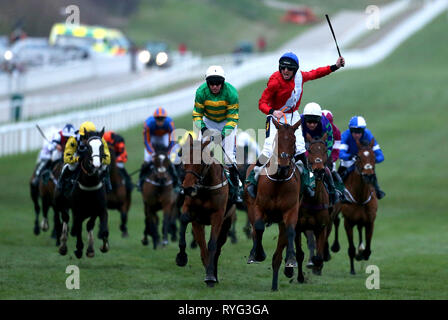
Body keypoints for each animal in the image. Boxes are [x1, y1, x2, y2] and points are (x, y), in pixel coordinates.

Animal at [175, 135, 234, 288]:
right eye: (183, 158)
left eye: (201, 162)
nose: (187, 188)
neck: (205, 188)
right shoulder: (191, 211)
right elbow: (184, 219)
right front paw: (181, 257)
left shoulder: (218, 215)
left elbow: (212, 244)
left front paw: (210, 276)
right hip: (199, 224)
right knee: (202, 246)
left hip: (227, 222)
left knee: (217, 247)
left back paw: (213, 274)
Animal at [245, 119, 300, 292]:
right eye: (278, 140)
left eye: (293, 141)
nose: (283, 166)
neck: (278, 181)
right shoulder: (258, 207)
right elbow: (259, 228)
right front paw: (257, 254)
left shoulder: (291, 210)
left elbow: (291, 231)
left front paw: (291, 260)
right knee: (255, 230)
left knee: (278, 253)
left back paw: (276, 283)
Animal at [330, 139, 380, 274]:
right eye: (358, 157)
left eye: (374, 157)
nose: (368, 175)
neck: (360, 197)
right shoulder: (348, 222)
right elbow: (351, 248)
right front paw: (352, 269)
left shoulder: (370, 221)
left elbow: (368, 249)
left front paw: (361, 253)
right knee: (334, 221)